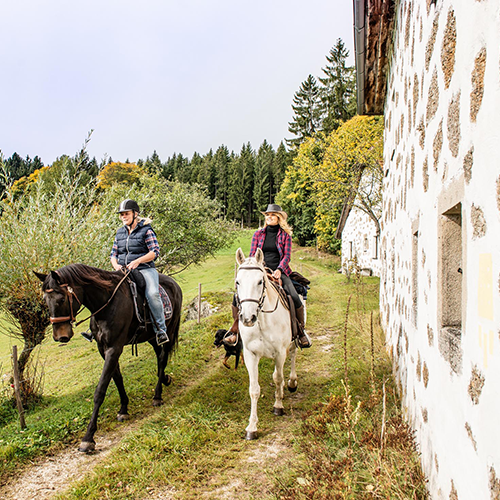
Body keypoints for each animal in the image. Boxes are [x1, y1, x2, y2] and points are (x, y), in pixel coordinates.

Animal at [35, 266, 184, 454]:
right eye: (45, 300)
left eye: (61, 298)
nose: (59, 336)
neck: (106, 304)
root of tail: (174, 284)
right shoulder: (103, 349)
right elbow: (117, 379)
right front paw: (124, 409)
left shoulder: (114, 348)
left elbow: (100, 390)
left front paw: (88, 438)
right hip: (151, 336)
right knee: (159, 357)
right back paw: (164, 379)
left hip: (169, 331)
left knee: (163, 358)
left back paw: (157, 396)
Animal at [234, 248, 296, 440]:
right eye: (237, 282)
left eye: (260, 281)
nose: (248, 318)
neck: (262, 320)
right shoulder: (250, 355)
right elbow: (254, 389)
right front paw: (251, 427)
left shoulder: (280, 352)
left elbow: (278, 378)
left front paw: (278, 406)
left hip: (292, 343)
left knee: (292, 356)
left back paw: (292, 383)